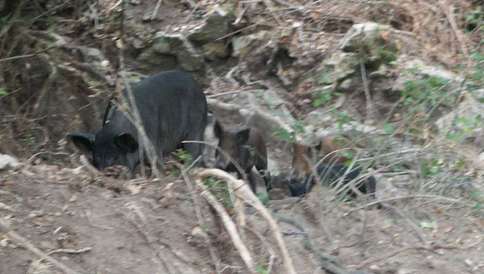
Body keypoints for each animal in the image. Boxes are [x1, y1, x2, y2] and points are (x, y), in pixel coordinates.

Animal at [67, 70, 206, 173]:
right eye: (96, 158)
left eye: (115, 157)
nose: (106, 172)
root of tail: (198, 87)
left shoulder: (153, 144)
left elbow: (157, 163)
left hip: (196, 125)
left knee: (194, 150)